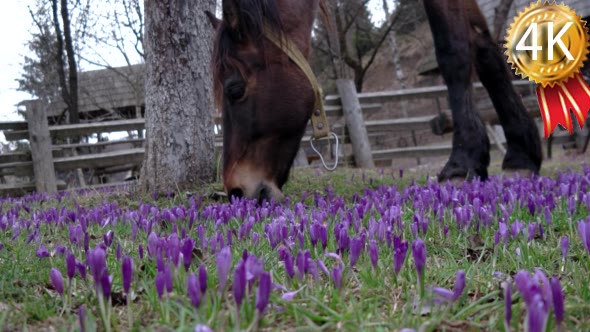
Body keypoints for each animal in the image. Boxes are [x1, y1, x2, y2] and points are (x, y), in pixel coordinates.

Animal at [209, 0, 544, 202]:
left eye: (234, 90)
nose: (236, 190)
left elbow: (454, 48)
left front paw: (463, 162)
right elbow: (485, 49)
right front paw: (521, 155)